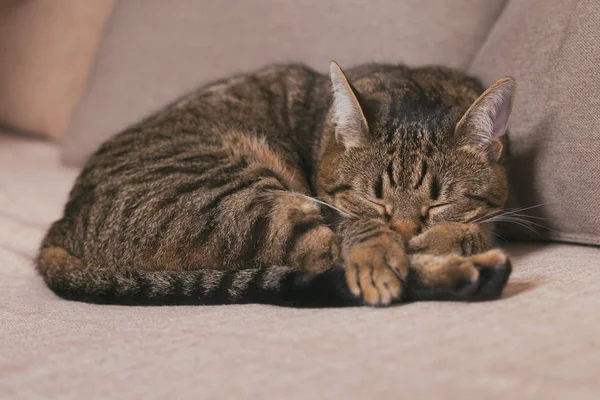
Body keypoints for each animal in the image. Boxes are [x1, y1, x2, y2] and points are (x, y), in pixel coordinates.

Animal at [37, 61, 516, 306]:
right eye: (372, 199)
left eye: (438, 203)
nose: (404, 230)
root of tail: (60, 228)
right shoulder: (334, 208)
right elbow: (361, 234)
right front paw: (398, 247)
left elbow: (473, 227)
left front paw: (450, 235)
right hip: (243, 203)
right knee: (326, 262)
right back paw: (469, 272)